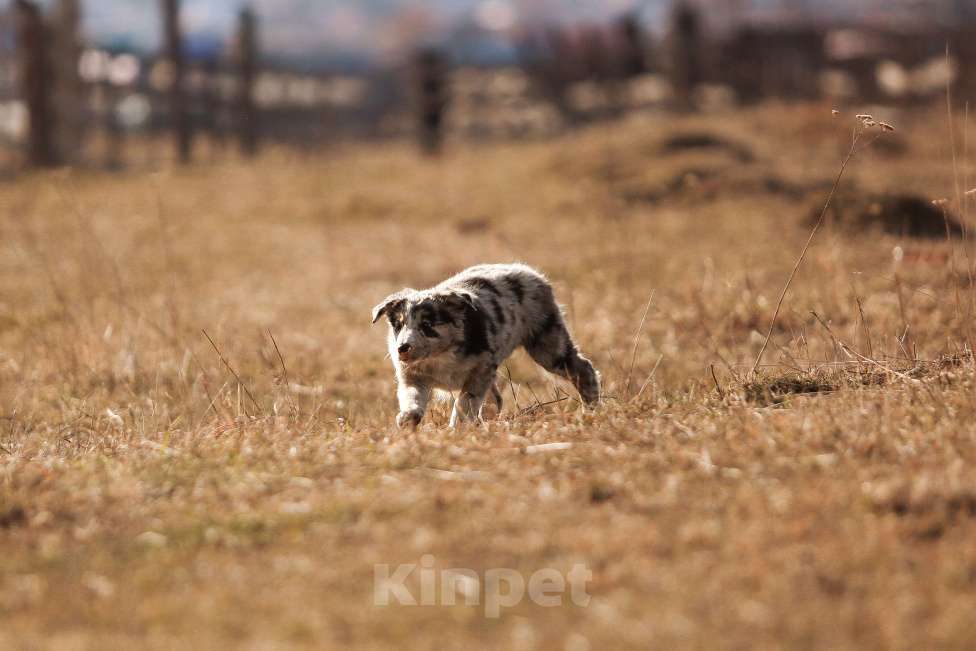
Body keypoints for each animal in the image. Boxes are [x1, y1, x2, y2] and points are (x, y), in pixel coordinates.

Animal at [374, 264, 604, 428]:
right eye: (398, 325)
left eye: (427, 325)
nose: (402, 348)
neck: (440, 357)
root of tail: (531, 272)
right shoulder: (412, 377)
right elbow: (411, 399)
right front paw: (406, 421)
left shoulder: (480, 370)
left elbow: (465, 403)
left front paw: (456, 429)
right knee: (496, 399)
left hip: (547, 343)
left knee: (583, 367)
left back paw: (591, 409)